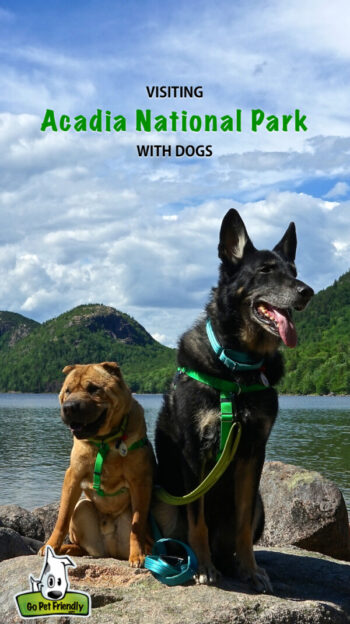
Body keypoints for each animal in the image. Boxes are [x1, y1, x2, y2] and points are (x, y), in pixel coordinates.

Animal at [39, 358, 153, 568]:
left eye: (93, 388)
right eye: (67, 390)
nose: (69, 407)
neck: (104, 441)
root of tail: (110, 551)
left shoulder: (140, 480)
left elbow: (138, 523)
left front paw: (138, 555)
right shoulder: (73, 476)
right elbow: (62, 518)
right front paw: (51, 545)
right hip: (81, 508)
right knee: (82, 545)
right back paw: (67, 549)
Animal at [154, 208, 314, 588]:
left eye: (294, 271)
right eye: (266, 270)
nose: (308, 291)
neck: (236, 370)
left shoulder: (253, 452)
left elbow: (241, 525)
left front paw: (251, 570)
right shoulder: (194, 453)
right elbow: (197, 520)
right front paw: (201, 567)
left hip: (261, 505)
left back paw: (233, 563)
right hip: (163, 502)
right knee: (178, 536)